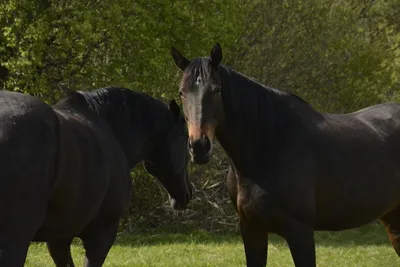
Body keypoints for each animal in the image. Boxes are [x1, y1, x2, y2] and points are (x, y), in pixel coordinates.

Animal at [171, 43, 400, 266]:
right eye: (182, 92)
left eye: (217, 90)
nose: (199, 146)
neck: (268, 146)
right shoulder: (252, 230)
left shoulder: (300, 233)